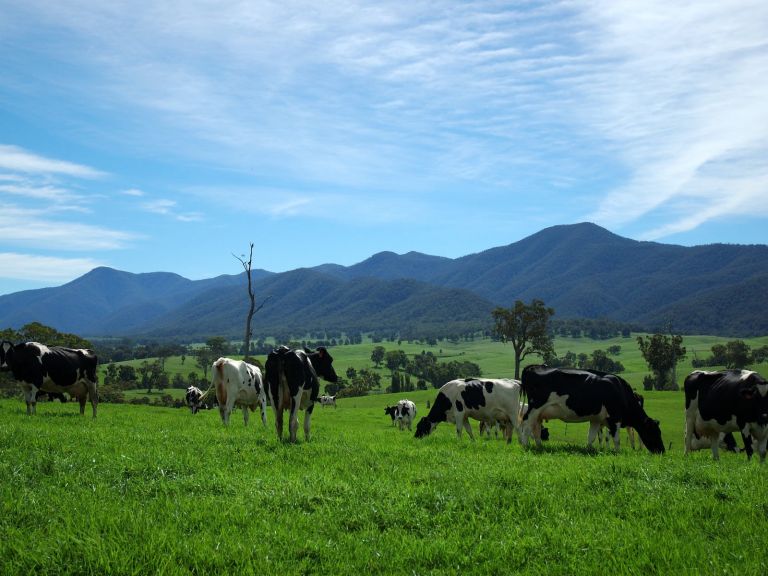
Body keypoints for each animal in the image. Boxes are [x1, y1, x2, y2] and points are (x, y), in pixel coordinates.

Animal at [520, 364, 664, 454]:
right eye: (655, 432)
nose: (662, 451)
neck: (620, 391)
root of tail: (533, 367)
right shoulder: (615, 418)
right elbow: (616, 439)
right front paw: (617, 453)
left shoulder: (596, 419)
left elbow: (592, 437)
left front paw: (589, 450)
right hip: (535, 408)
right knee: (526, 424)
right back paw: (525, 445)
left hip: (540, 413)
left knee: (536, 428)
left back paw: (539, 446)